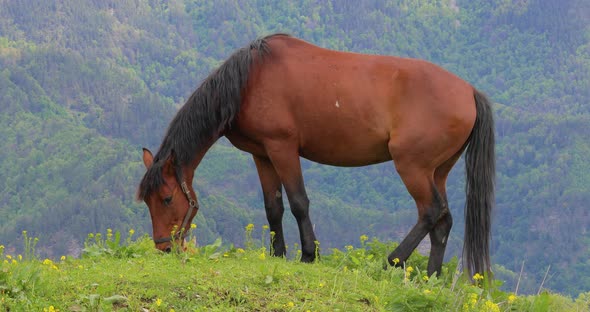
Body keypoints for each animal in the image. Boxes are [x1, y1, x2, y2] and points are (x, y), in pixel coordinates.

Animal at [139, 34, 494, 278]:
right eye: (147, 201)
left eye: (167, 198)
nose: (163, 247)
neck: (250, 79)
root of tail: (468, 91)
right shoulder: (262, 155)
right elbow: (273, 207)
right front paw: (278, 254)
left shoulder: (282, 148)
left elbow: (298, 202)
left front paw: (309, 254)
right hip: (437, 171)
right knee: (443, 220)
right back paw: (430, 276)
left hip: (413, 167)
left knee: (430, 212)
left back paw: (390, 261)